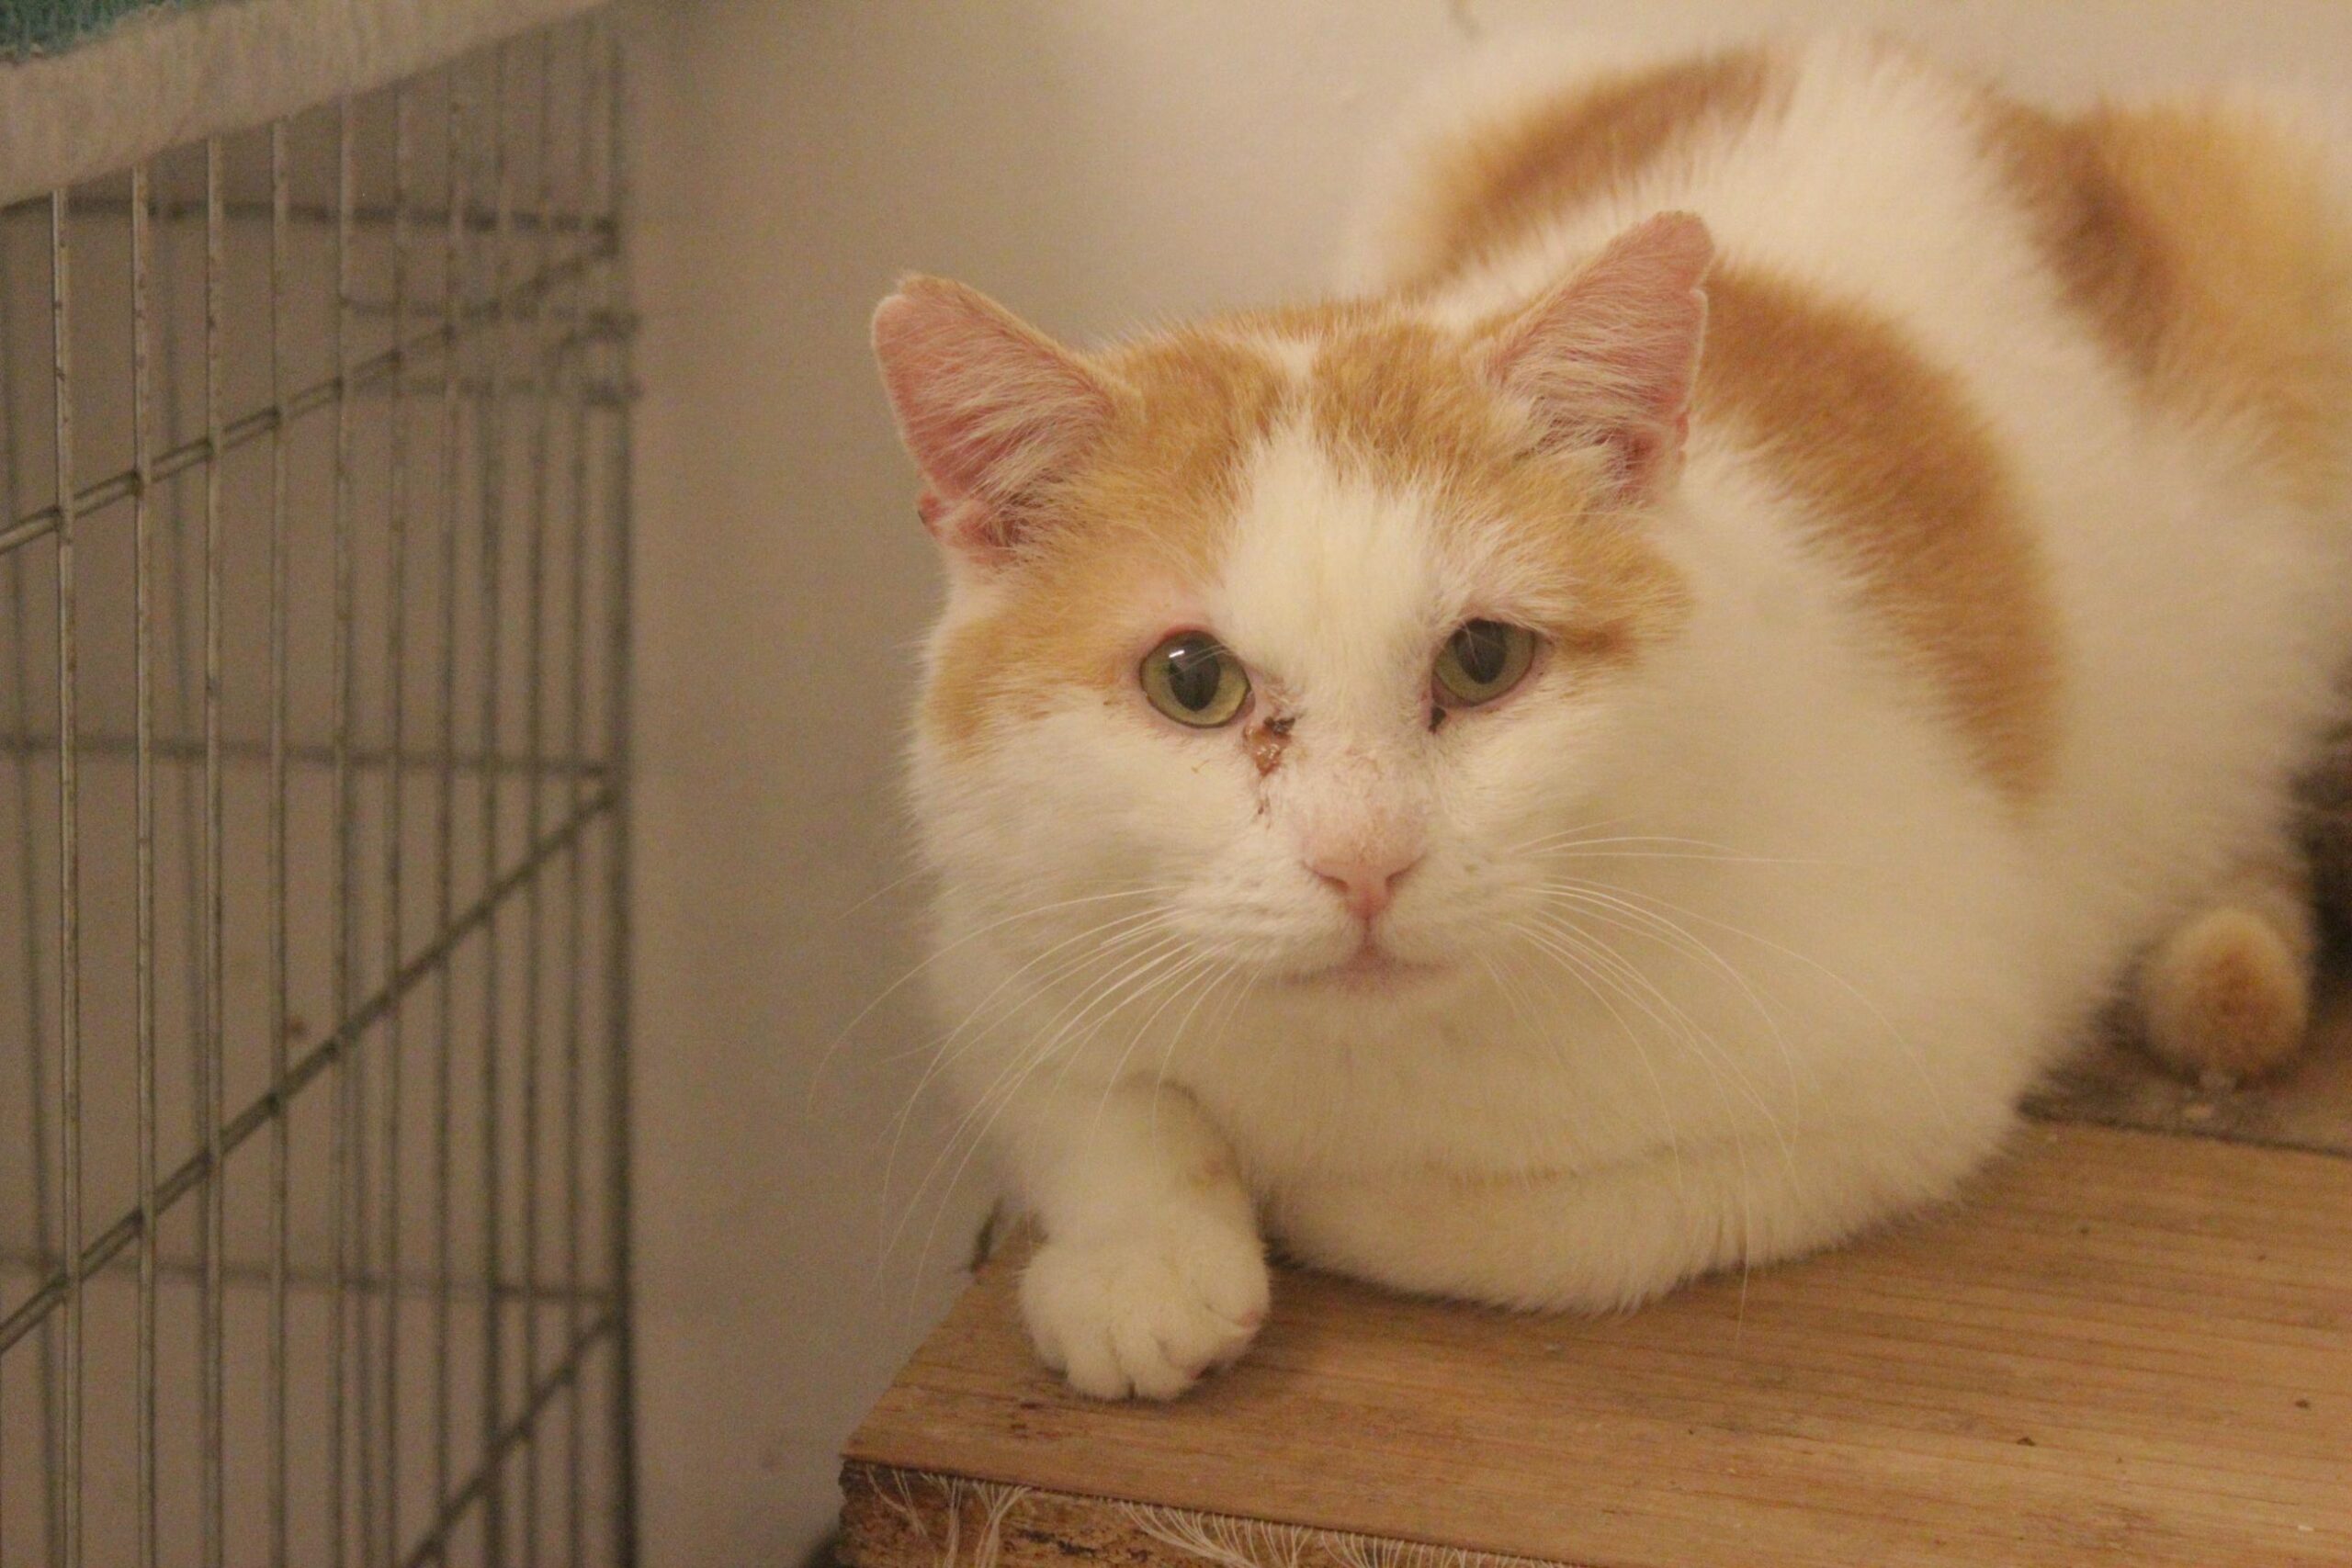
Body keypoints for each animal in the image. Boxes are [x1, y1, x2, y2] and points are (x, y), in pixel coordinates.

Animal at [870, 35, 2352, 1400]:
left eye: (1483, 659)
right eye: (1192, 681)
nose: (1364, 861)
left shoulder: (1905, 1079)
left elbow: (1527, 1224)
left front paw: (1309, 1196)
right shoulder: (991, 943)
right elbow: (1081, 1094)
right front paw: (1139, 1264)